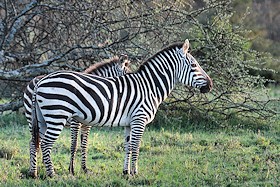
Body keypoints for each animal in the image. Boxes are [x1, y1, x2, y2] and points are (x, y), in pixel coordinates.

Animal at [28, 39, 212, 177]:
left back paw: (35, 173)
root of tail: (40, 81)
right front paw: (135, 173)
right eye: (194, 65)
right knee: (46, 144)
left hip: (42, 119)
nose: (210, 85)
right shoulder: (139, 119)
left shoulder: (129, 123)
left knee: (35, 142)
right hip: (57, 116)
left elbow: (128, 146)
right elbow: (136, 147)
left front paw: (126, 172)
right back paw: (52, 175)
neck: (150, 87)